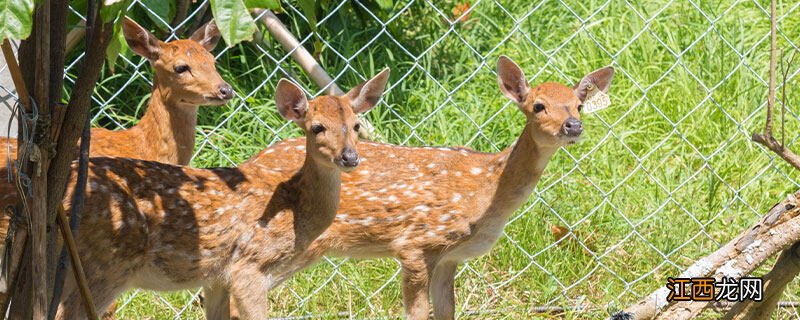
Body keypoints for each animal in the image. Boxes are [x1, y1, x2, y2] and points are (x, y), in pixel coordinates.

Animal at [52, 70, 388, 320]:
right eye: (317, 127)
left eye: (356, 125)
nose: (349, 157)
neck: (295, 210)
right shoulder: (248, 267)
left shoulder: (216, 278)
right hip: (105, 264)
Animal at [234, 56, 616, 318]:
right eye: (538, 105)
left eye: (579, 104)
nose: (573, 125)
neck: (488, 189)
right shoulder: (416, 245)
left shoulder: (451, 257)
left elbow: (447, 311)